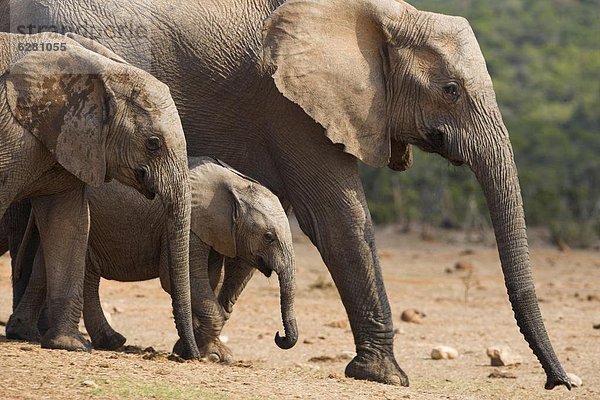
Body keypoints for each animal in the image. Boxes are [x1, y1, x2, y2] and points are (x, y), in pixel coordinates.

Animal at [0, 30, 200, 356]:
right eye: (153, 143)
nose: (188, 356)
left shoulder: (70, 138)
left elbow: (68, 223)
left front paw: (69, 344)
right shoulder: (13, 135)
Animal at [9, 157, 298, 362]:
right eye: (269, 237)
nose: (279, 336)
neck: (234, 184)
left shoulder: (213, 232)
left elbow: (208, 281)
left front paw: (196, 349)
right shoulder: (190, 226)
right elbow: (184, 282)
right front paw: (212, 356)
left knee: (48, 265)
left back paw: (27, 333)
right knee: (87, 275)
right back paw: (109, 341)